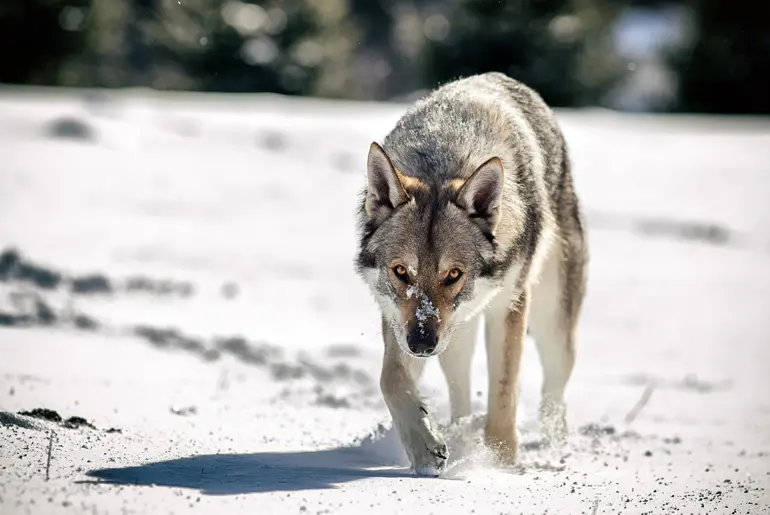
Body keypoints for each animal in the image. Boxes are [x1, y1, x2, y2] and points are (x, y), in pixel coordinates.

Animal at [354, 72, 588, 476]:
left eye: (453, 274)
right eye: (401, 271)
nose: (421, 344)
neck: (442, 162)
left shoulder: (510, 306)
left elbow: (504, 393)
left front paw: (497, 465)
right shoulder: (396, 316)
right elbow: (391, 379)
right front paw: (425, 445)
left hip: (553, 329)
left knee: (554, 395)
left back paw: (553, 447)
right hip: (454, 337)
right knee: (459, 390)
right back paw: (458, 433)